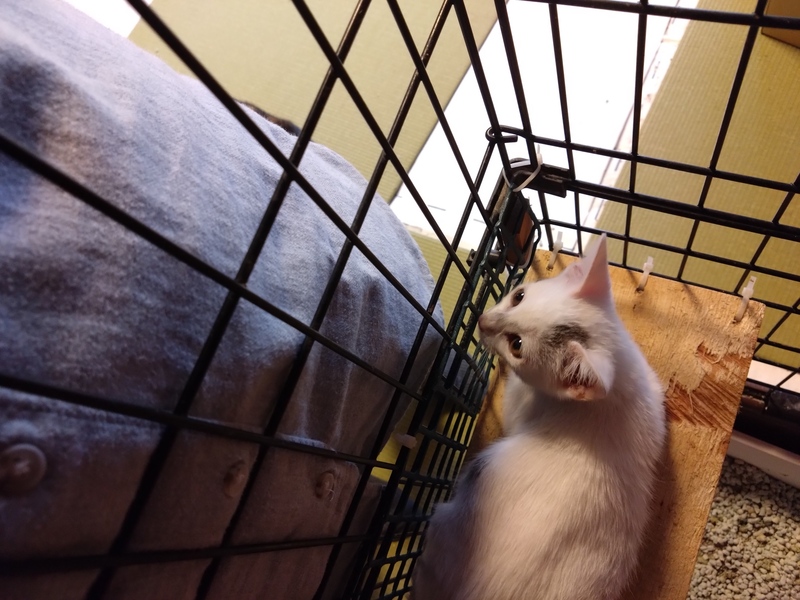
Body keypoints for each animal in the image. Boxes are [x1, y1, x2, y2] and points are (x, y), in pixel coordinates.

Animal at [411, 234, 666, 600]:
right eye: (518, 296)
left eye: (517, 344)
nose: (483, 322)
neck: (617, 384)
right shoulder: (655, 395)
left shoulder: (523, 406)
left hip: (448, 516)